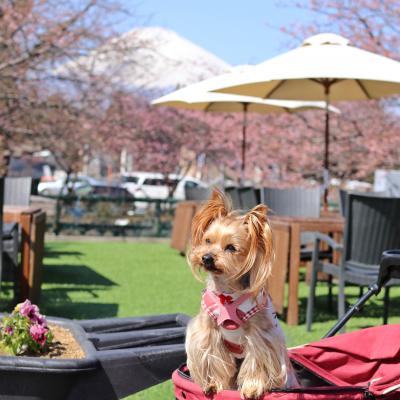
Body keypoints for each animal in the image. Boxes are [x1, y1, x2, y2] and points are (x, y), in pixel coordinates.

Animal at [185, 189, 296, 398]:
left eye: (231, 248)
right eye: (207, 240)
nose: (206, 258)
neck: (227, 293)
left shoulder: (259, 335)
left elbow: (257, 360)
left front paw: (252, 389)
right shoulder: (208, 331)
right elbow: (212, 357)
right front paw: (213, 385)